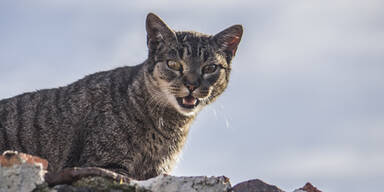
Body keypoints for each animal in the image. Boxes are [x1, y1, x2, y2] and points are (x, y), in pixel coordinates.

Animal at [0, 13, 243, 180]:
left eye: (210, 68)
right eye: (174, 64)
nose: (192, 84)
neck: (169, 126)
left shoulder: (155, 171)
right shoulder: (106, 163)